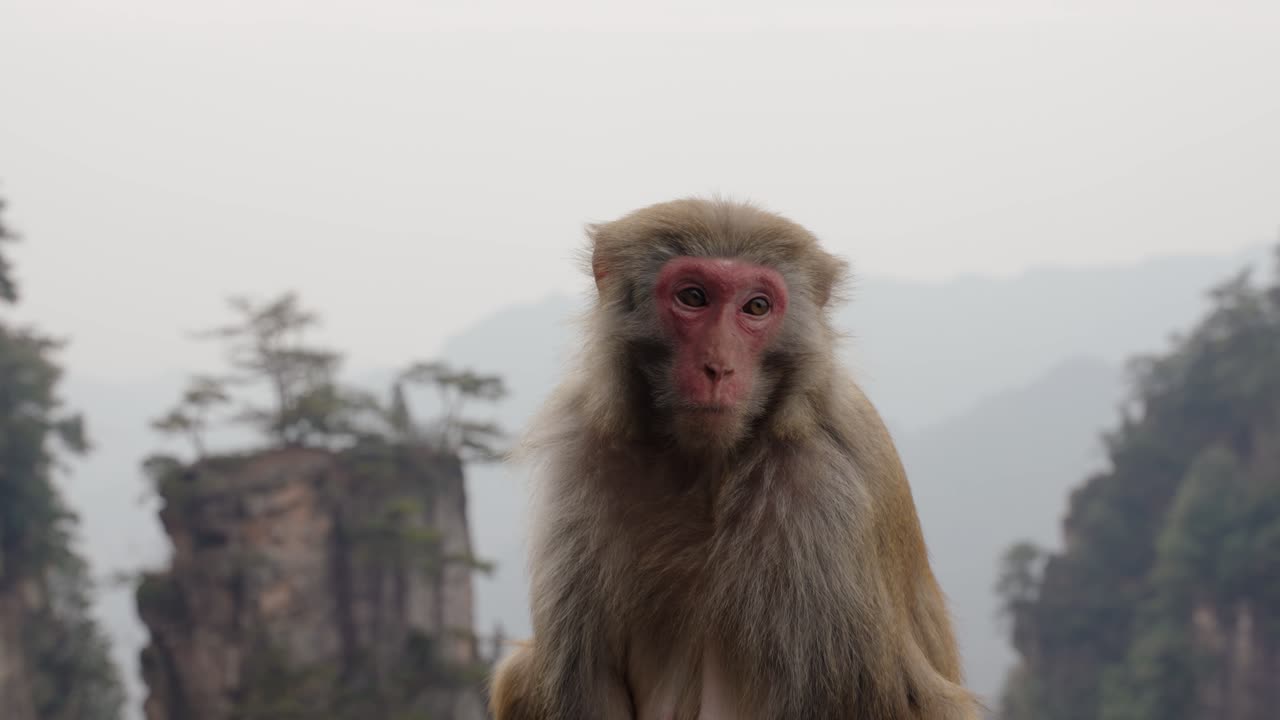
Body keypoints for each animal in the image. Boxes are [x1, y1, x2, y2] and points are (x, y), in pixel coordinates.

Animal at [490, 197, 980, 720]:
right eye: (693, 297)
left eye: (756, 307)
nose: (718, 368)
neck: (701, 465)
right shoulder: (581, 457)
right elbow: (583, 679)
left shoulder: (821, 497)